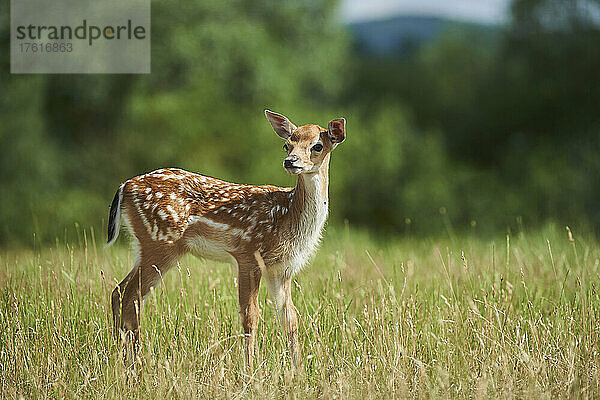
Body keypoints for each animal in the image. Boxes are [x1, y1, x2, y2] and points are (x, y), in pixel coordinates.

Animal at [105, 110, 344, 372]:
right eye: (287, 145)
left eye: (317, 146)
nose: (290, 162)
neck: (288, 215)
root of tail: (124, 186)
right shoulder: (248, 254)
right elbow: (251, 315)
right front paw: (250, 371)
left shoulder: (281, 269)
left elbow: (289, 316)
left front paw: (297, 369)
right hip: (160, 242)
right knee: (131, 296)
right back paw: (135, 364)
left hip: (148, 245)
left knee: (119, 292)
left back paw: (121, 358)